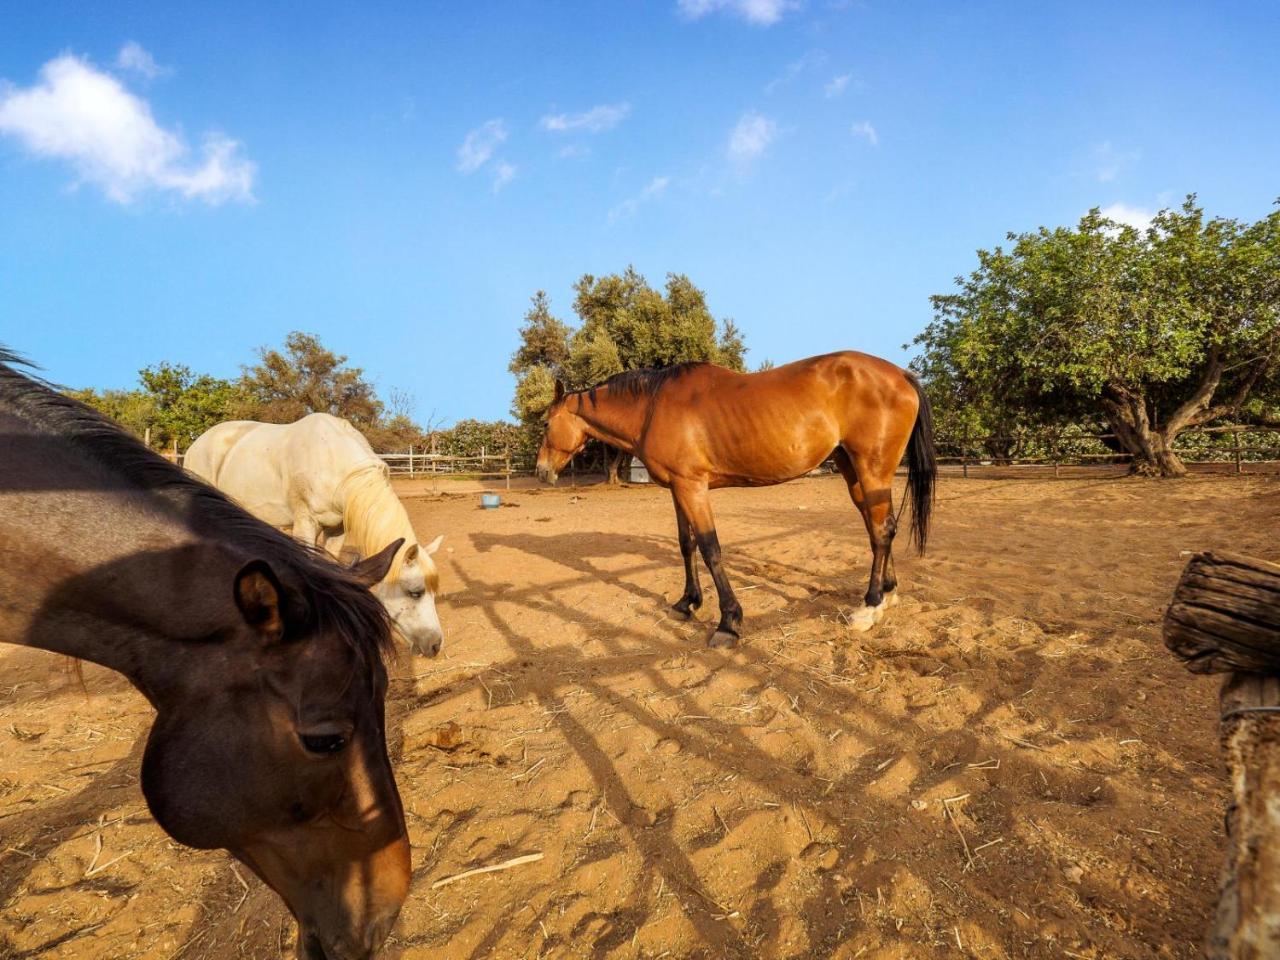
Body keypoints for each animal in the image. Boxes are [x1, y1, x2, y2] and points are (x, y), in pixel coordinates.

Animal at [183, 414, 448, 660]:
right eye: (415, 592)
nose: (435, 645)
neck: (331, 461)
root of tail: (198, 443)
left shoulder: (337, 529)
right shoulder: (305, 523)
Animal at [535, 350, 936, 650]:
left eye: (545, 424)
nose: (541, 471)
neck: (653, 405)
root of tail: (902, 375)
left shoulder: (693, 488)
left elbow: (710, 548)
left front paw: (728, 622)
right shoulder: (678, 489)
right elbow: (686, 544)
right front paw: (686, 603)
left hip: (872, 470)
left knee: (881, 530)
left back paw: (869, 608)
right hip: (854, 471)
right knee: (877, 528)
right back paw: (887, 595)